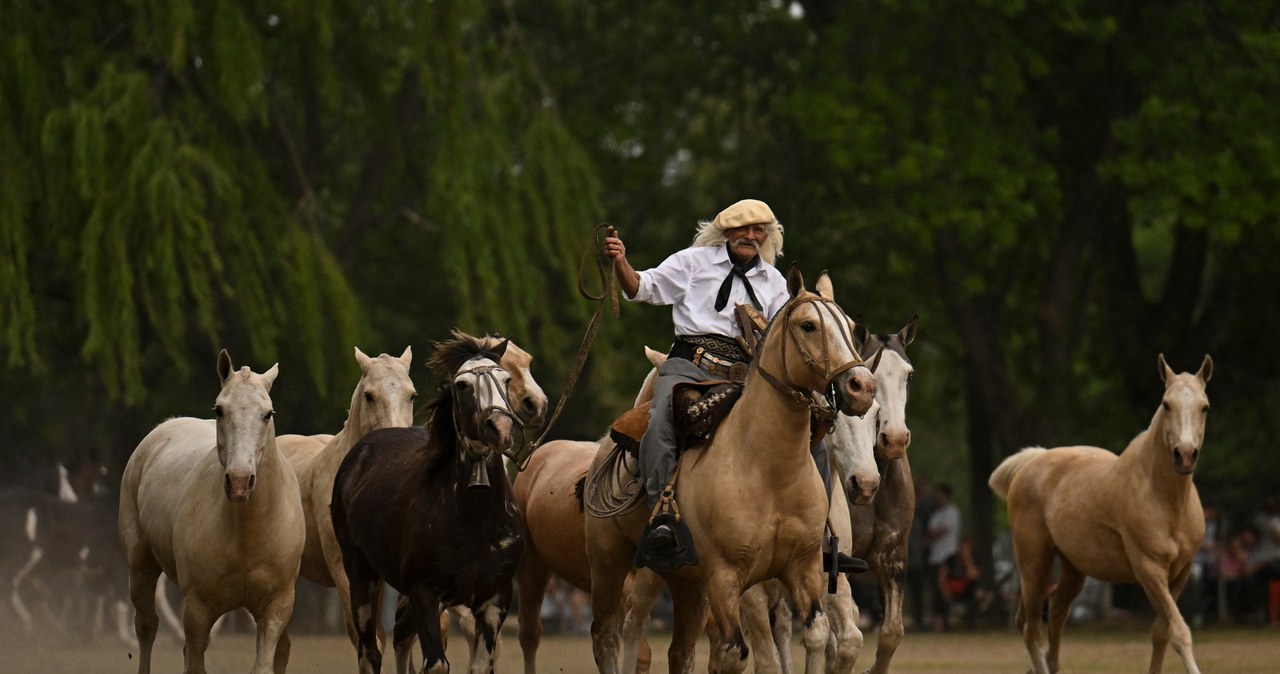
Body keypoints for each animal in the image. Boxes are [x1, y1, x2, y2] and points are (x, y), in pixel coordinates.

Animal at [119, 350, 304, 674]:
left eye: (268, 413)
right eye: (220, 409)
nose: (240, 481)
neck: (247, 533)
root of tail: (163, 429)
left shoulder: (277, 605)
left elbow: (265, 662)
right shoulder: (197, 608)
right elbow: (194, 662)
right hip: (141, 565)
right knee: (146, 627)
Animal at [335, 332, 529, 674]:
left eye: (506, 379)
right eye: (462, 385)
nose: (500, 428)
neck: (476, 517)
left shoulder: (495, 600)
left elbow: (481, 664)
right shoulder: (424, 592)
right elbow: (436, 664)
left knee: (400, 637)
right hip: (360, 573)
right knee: (369, 651)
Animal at [988, 352, 1208, 674]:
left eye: (1204, 406)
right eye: (1166, 404)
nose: (1185, 455)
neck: (1165, 501)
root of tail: (1033, 460)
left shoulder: (1181, 572)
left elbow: (1161, 631)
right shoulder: (1149, 569)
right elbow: (1179, 631)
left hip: (1072, 566)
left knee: (1055, 610)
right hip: (1033, 562)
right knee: (1031, 627)